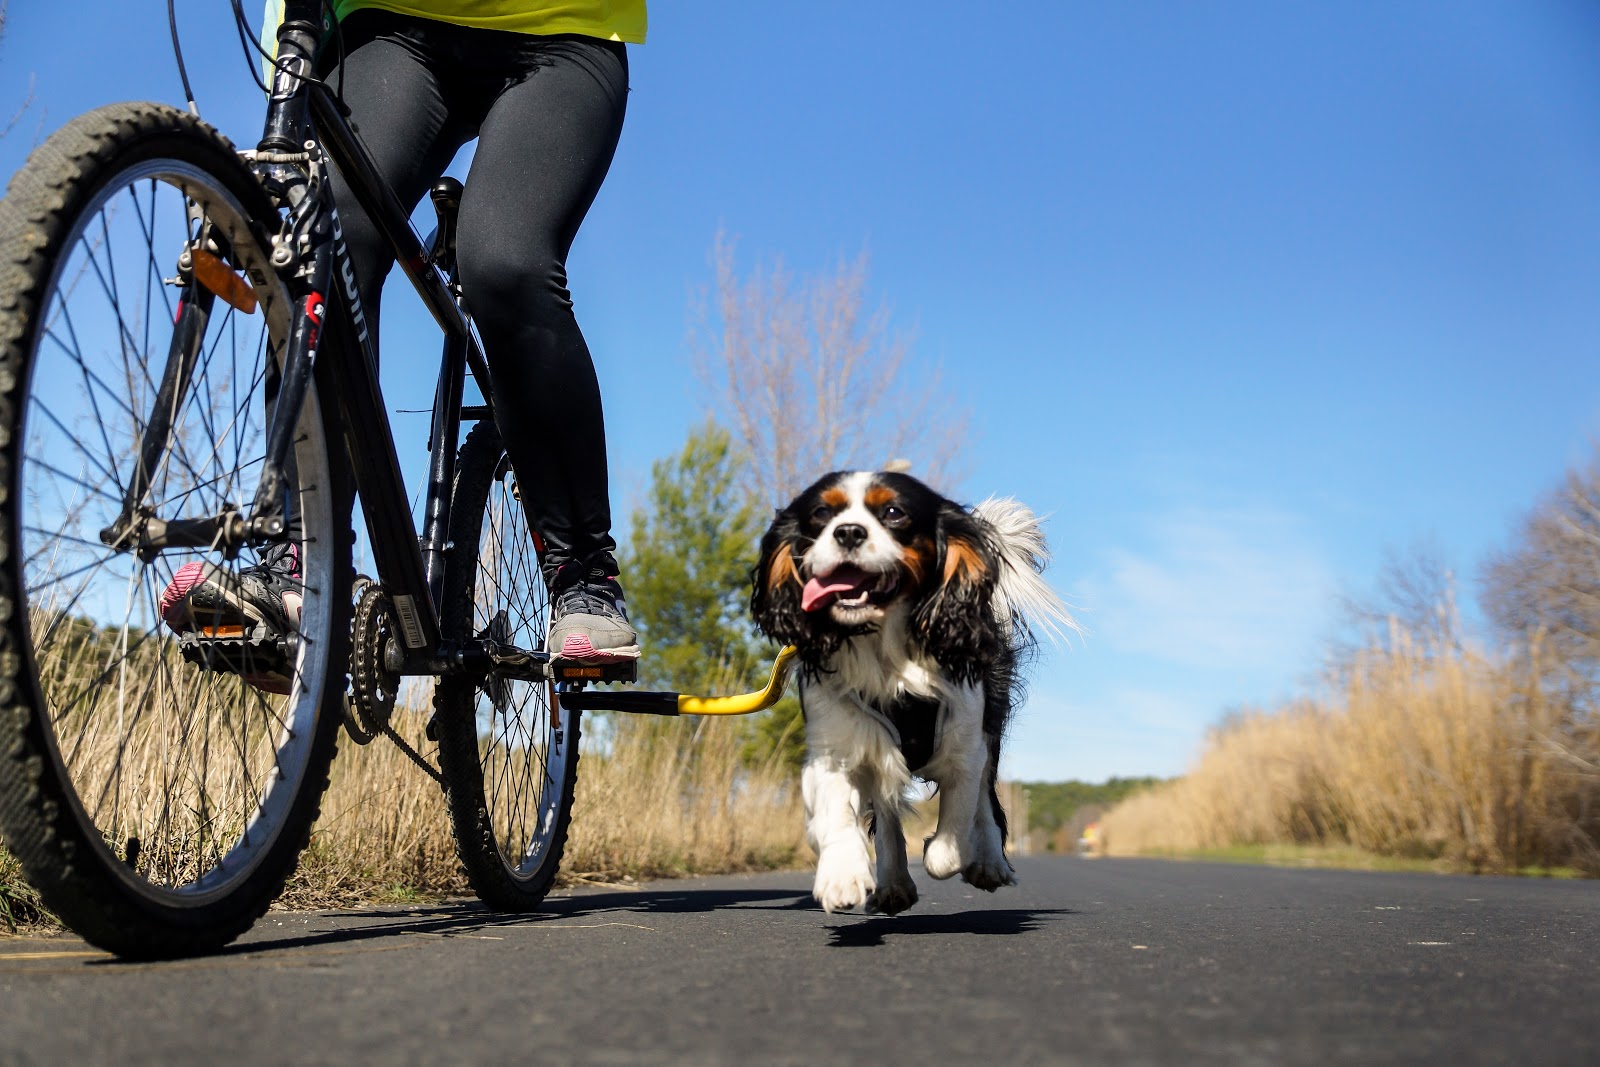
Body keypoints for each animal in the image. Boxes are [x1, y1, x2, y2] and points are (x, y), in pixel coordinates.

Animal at [748, 470, 1075, 915]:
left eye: (893, 512)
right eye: (820, 513)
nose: (848, 532)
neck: (885, 655)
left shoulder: (965, 745)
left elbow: (951, 840)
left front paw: (953, 854)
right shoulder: (836, 746)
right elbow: (838, 811)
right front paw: (842, 875)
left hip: (988, 726)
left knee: (985, 800)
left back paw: (988, 863)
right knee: (886, 811)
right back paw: (894, 883)